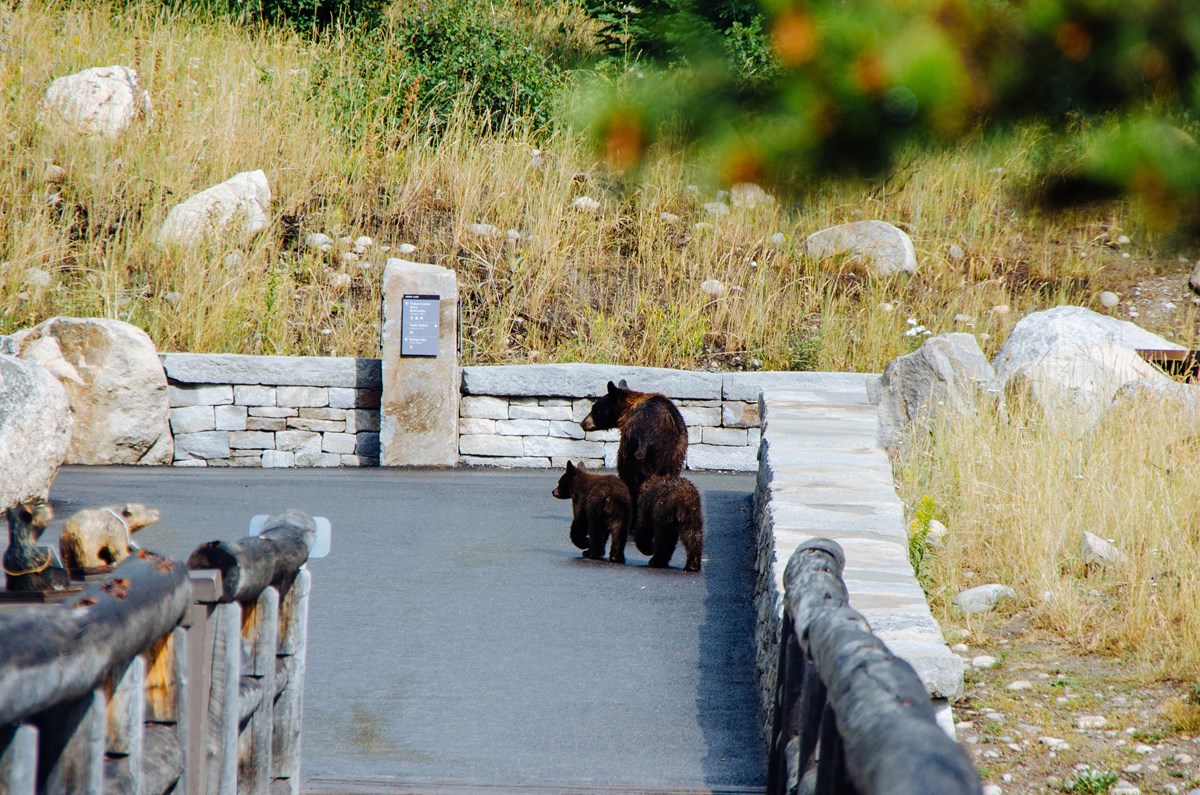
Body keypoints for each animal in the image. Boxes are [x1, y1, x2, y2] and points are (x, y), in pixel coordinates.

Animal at [579, 380, 687, 510]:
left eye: (595, 408)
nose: (582, 423)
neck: (629, 408)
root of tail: (646, 437)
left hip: (631, 449)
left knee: (629, 478)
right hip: (672, 453)